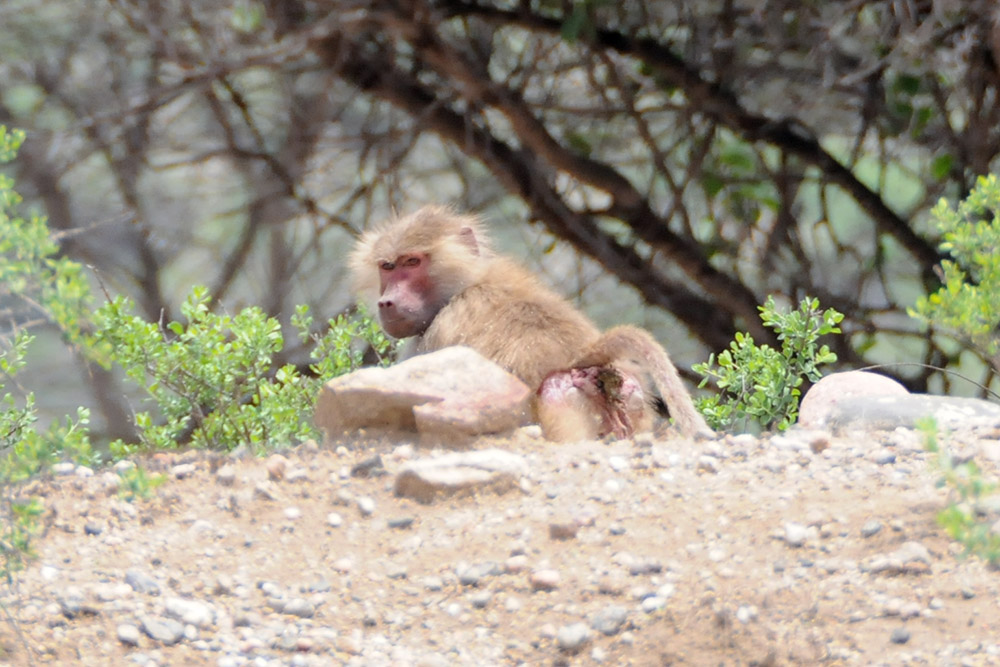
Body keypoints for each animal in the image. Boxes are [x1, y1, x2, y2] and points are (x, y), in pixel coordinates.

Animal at [349, 205, 713, 441]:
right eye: (387, 267)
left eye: (412, 262)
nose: (387, 302)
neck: (464, 284)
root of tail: (583, 354)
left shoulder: (432, 339)